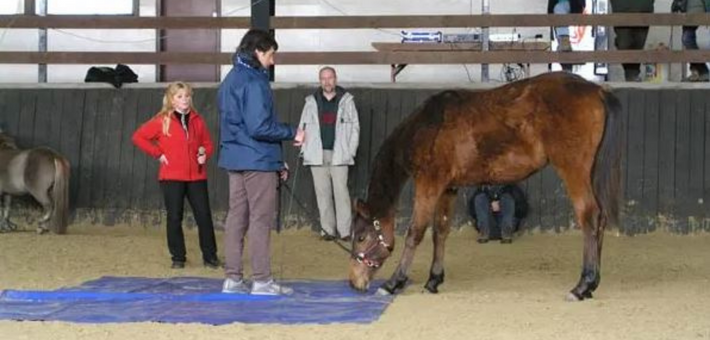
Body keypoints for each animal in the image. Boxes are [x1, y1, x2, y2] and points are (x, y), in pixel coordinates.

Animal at [350, 71, 624, 300]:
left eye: (362, 237)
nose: (354, 282)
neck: (429, 126)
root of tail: (595, 90)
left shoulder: (429, 184)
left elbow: (415, 233)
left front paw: (393, 283)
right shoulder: (448, 188)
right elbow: (441, 231)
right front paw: (433, 280)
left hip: (573, 170)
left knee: (589, 216)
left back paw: (582, 285)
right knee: (600, 219)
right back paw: (592, 284)